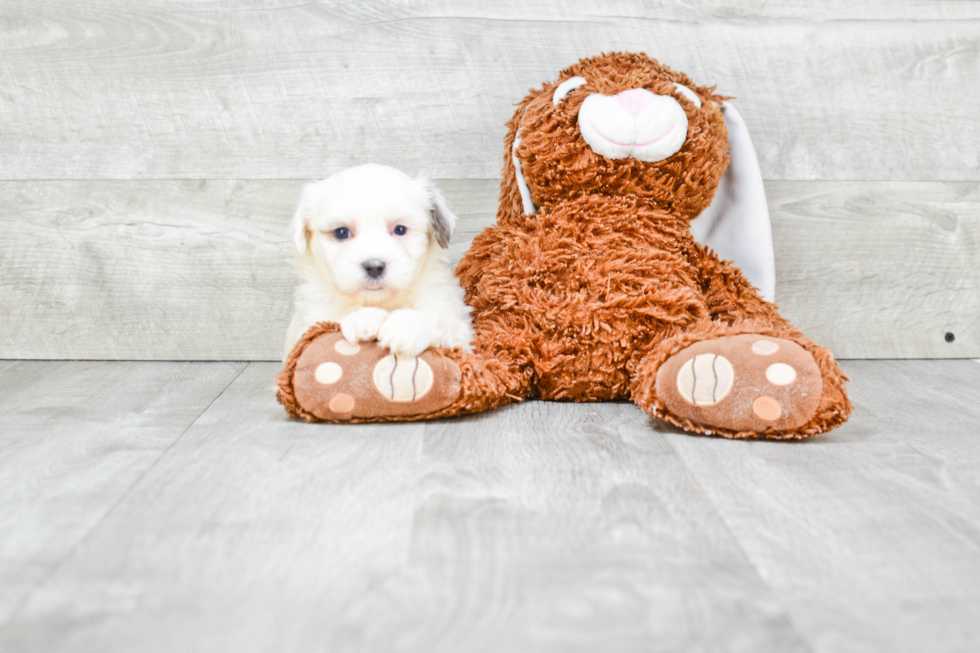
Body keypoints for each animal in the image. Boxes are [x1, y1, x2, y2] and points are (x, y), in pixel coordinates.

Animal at [284, 166, 474, 362]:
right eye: (341, 232)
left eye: (400, 229)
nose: (374, 266)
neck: (383, 302)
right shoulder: (309, 325)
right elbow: (333, 317)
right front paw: (363, 317)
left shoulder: (456, 324)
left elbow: (439, 319)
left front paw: (407, 326)